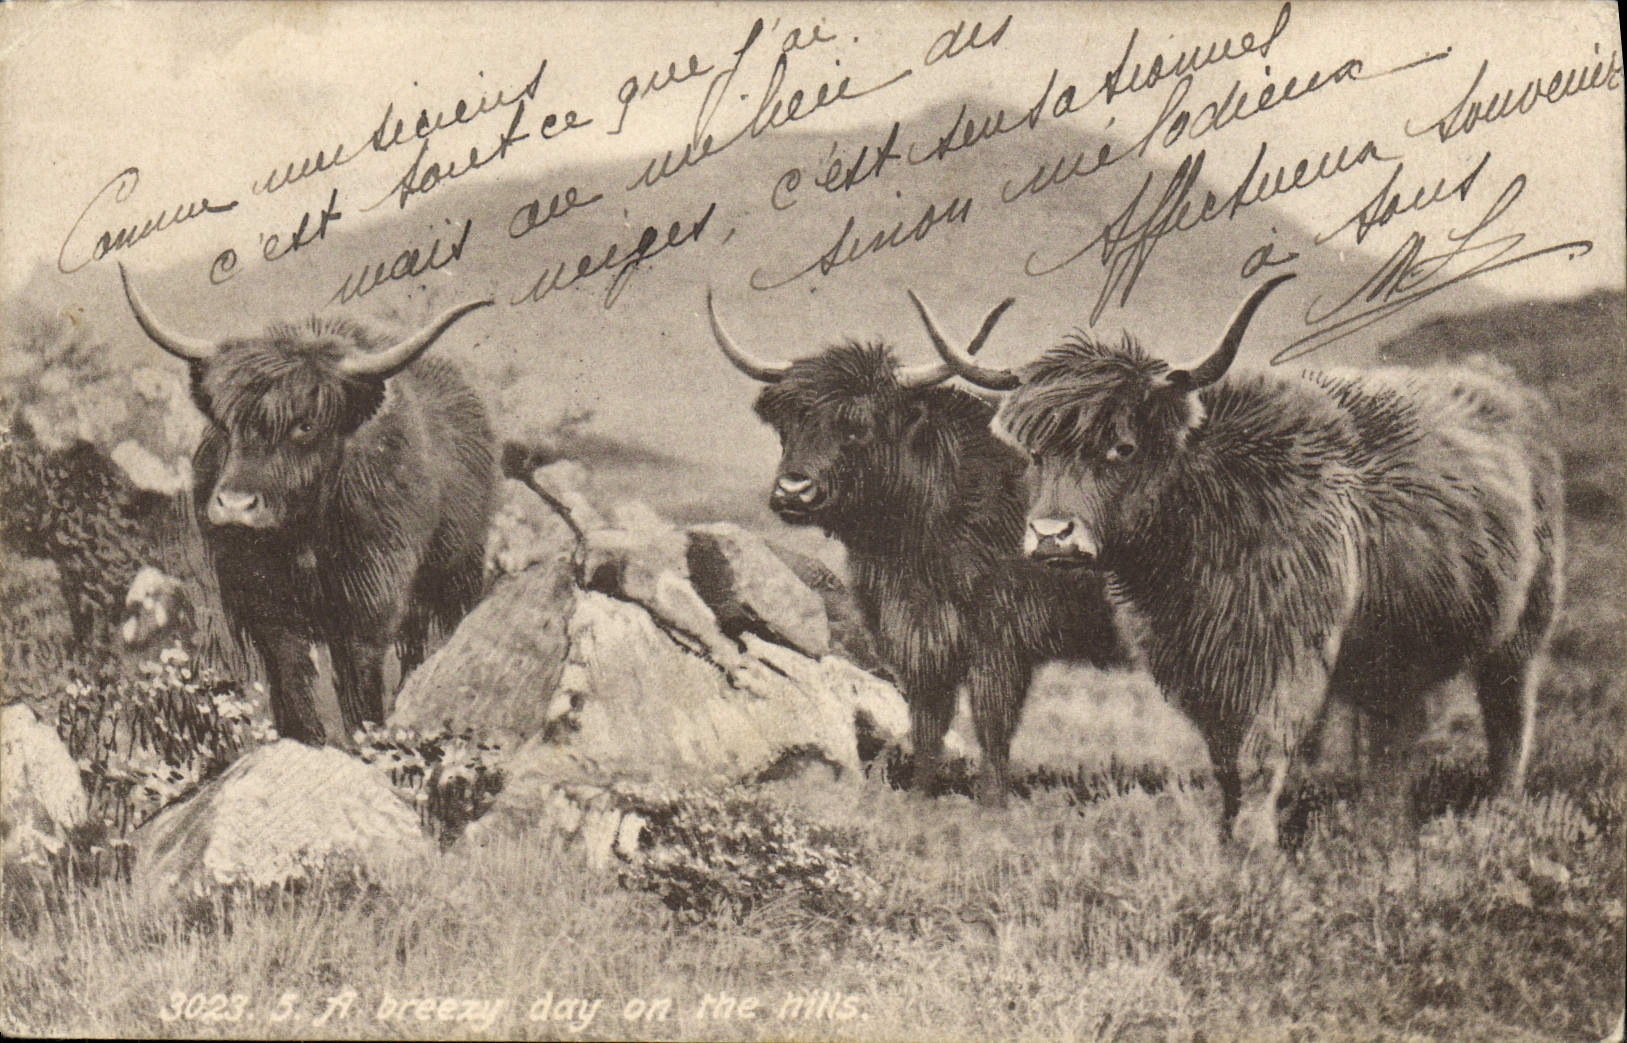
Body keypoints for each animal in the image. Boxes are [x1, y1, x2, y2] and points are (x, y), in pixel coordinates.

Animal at [119, 264, 499, 747]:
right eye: (225, 422)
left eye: (306, 424)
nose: (235, 505)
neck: (302, 536)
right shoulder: (266, 612)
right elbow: (292, 685)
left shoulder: (367, 609)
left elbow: (359, 692)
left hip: (457, 574)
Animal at [706, 292, 1130, 805]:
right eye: (789, 421)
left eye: (858, 426)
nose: (793, 490)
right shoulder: (920, 638)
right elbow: (928, 724)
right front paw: (919, 797)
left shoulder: (999, 641)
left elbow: (991, 726)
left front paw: (991, 804)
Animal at [923, 273, 1564, 845]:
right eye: (1035, 453)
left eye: (1122, 448)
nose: (1052, 535)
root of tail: (1502, 386)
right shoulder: (1193, 663)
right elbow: (1225, 760)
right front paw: (1227, 838)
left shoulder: (1286, 653)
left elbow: (1260, 755)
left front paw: (1256, 849)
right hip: (1395, 652)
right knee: (1392, 738)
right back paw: (1380, 829)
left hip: (1523, 630)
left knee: (1509, 718)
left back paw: (1498, 813)